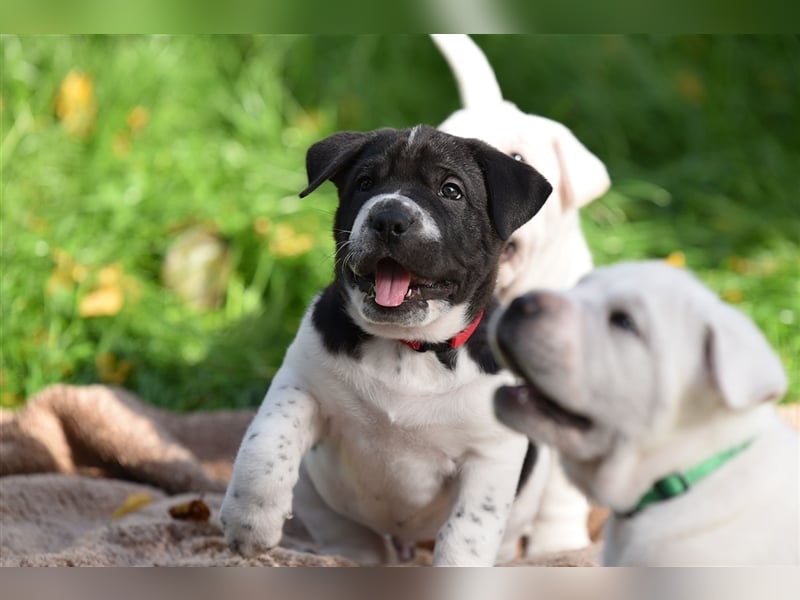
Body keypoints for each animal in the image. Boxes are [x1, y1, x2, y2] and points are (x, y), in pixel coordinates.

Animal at [219, 124, 556, 564]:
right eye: (365, 183)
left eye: (451, 190)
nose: (388, 218)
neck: (407, 348)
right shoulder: (301, 385)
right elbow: (264, 446)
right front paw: (249, 521)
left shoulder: (490, 454)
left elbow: (467, 532)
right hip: (321, 495)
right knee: (348, 537)